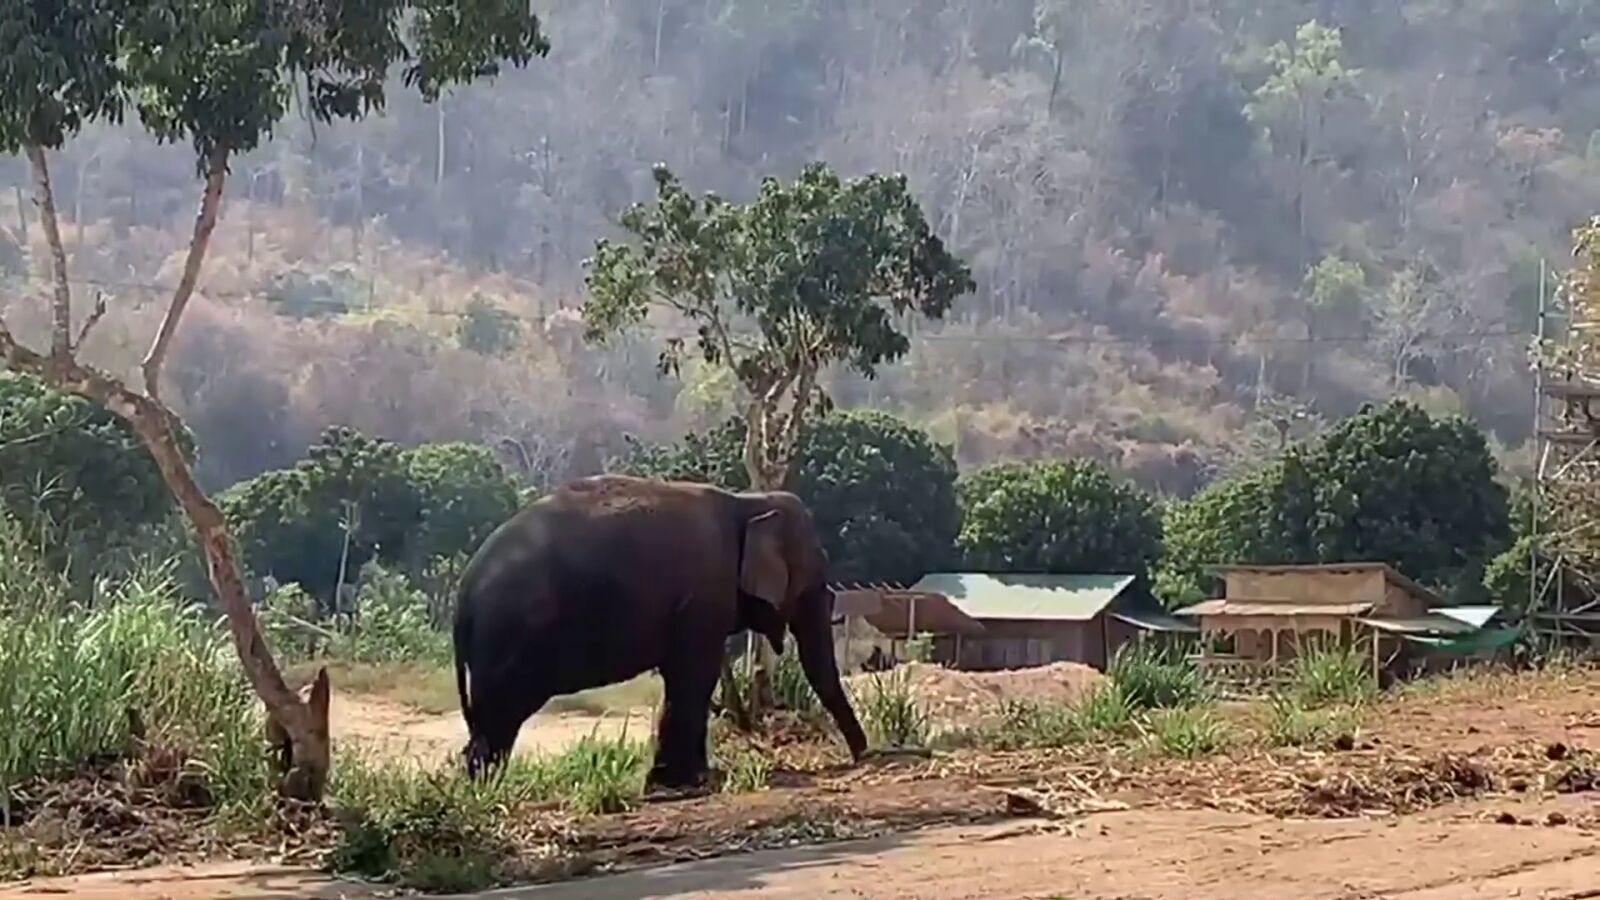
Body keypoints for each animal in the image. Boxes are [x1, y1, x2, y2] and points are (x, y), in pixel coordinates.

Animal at [452, 474, 869, 788]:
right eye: (814, 574)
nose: (866, 755)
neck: (745, 501)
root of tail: (464, 591)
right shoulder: (704, 593)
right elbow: (694, 676)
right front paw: (689, 781)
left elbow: (683, 676)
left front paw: (680, 779)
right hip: (508, 638)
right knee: (500, 716)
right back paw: (485, 790)